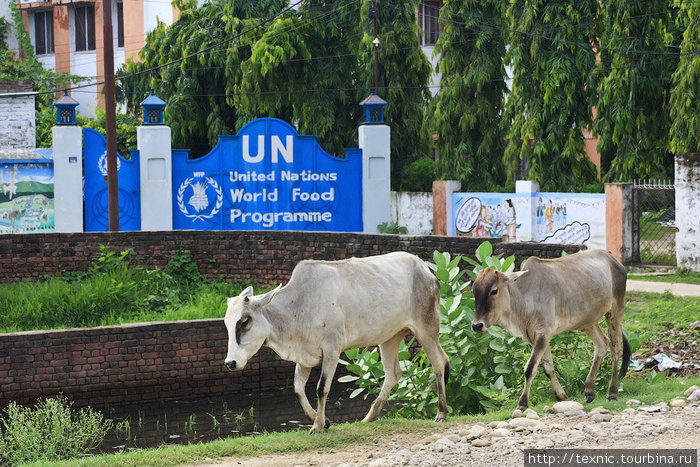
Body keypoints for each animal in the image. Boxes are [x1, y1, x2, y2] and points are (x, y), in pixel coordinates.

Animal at [224, 252, 448, 436]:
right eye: (226, 323)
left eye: (244, 322)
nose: (230, 363)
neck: (299, 304)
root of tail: (426, 270)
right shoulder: (304, 356)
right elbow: (298, 388)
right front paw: (322, 420)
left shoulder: (332, 350)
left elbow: (321, 388)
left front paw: (317, 426)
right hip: (389, 338)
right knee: (393, 374)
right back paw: (368, 417)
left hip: (426, 328)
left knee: (439, 363)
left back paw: (441, 413)